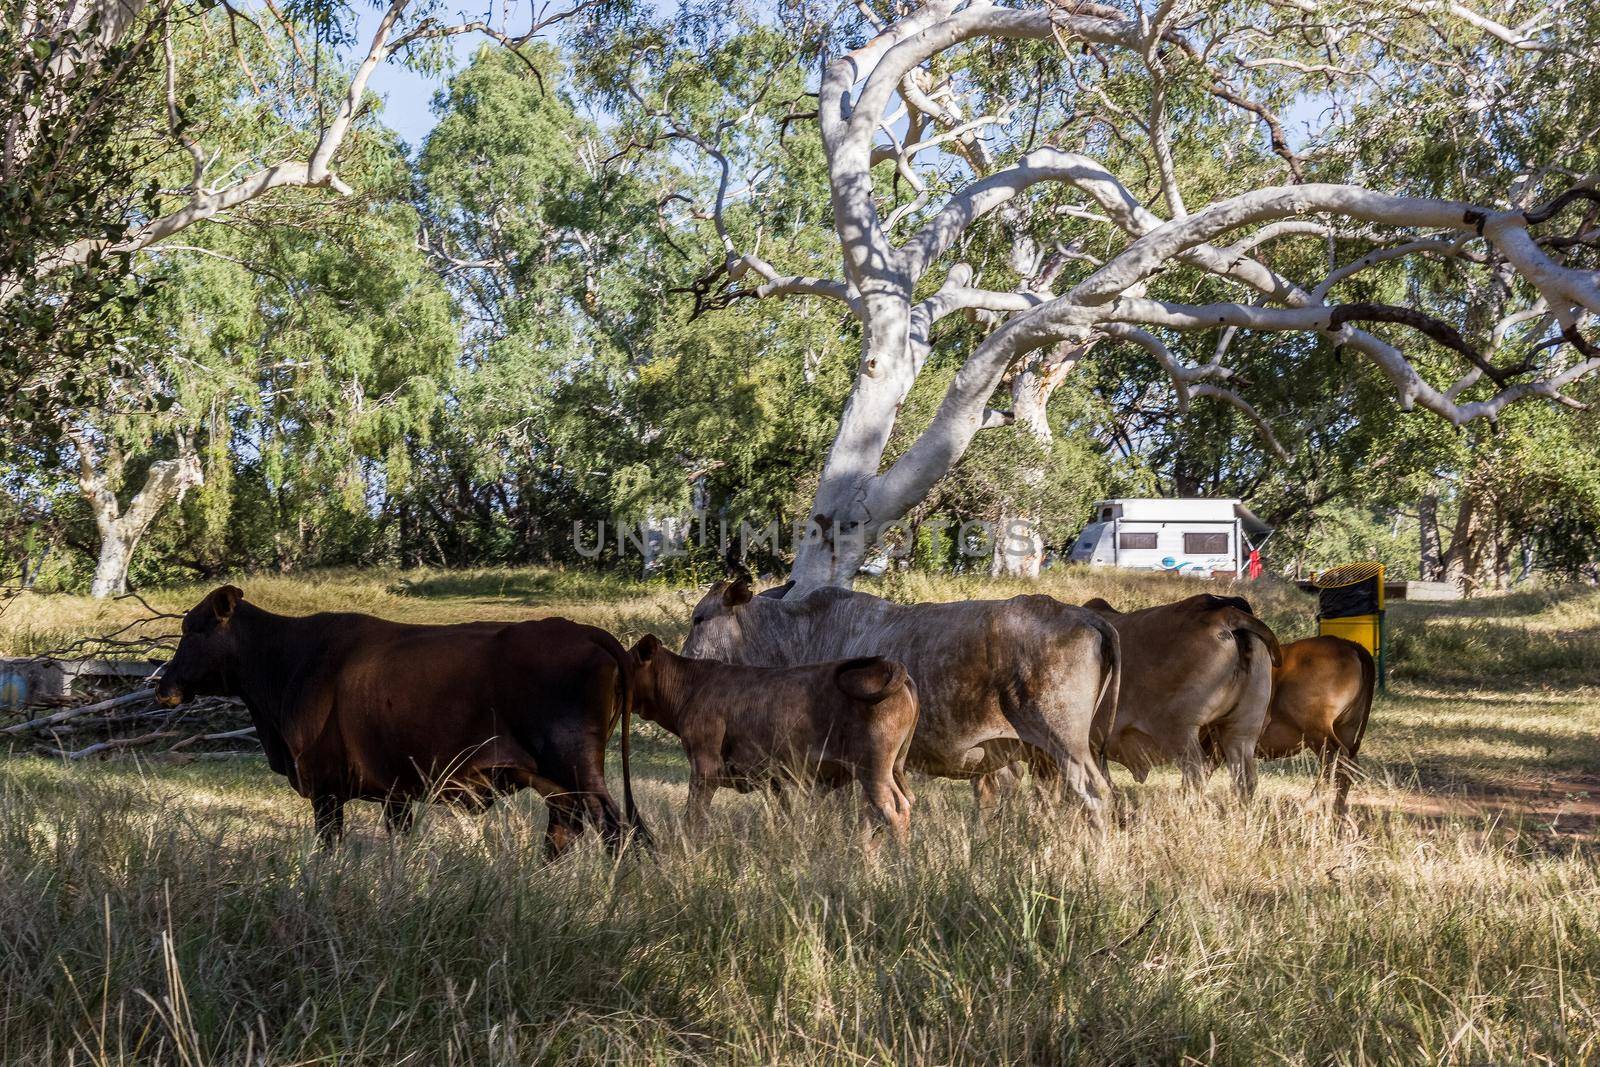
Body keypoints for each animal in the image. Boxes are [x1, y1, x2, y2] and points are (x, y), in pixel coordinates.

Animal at [152, 588, 646, 857]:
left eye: (192, 630)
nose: (164, 685)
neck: (287, 661)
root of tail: (582, 631)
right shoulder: (397, 792)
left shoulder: (326, 788)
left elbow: (329, 848)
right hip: (555, 783)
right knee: (566, 831)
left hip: (576, 769)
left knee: (618, 833)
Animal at [630, 633, 921, 844]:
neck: (691, 685)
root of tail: (886, 665)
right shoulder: (773, 780)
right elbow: (784, 817)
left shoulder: (704, 769)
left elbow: (694, 818)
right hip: (893, 767)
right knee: (894, 807)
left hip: (873, 770)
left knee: (894, 810)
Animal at [1254, 633, 1382, 819]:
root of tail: (1349, 645)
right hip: (1345, 728)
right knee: (1346, 765)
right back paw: (1338, 812)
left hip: (1319, 732)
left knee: (1335, 762)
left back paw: (1311, 805)